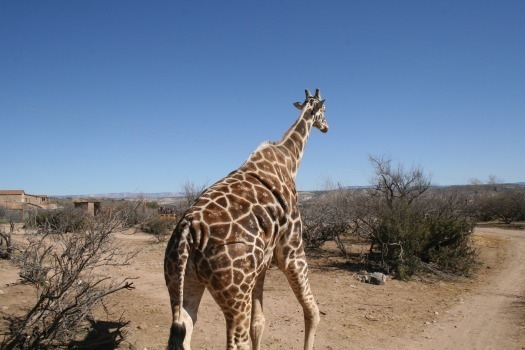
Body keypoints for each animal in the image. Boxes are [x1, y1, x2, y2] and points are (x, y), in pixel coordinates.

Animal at [164, 88, 328, 350]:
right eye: (324, 110)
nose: (326, 127)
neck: (289, 159)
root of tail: (187, 234)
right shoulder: (291, 249)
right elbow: (312, 310)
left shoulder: (261, 265)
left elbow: (258, 323)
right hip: (235, 295)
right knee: (236, 341)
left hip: (181, 284)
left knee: (182, 333)